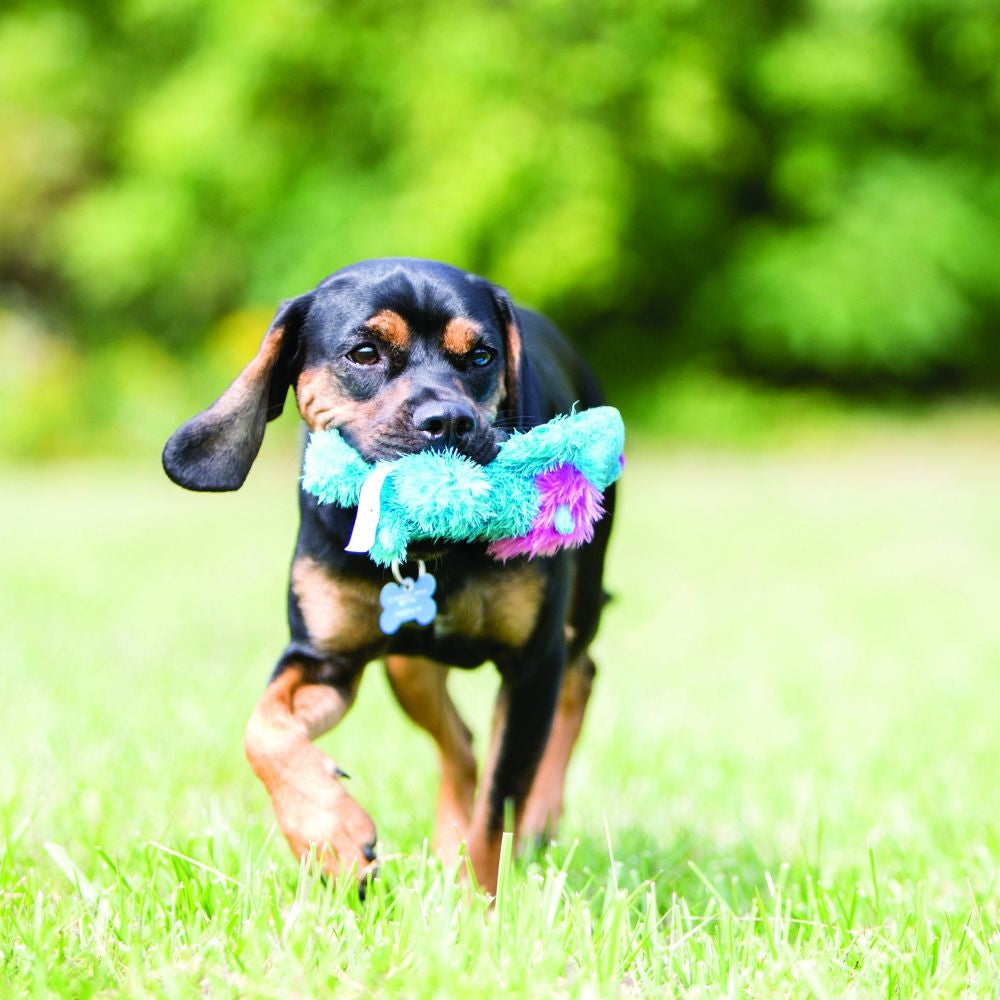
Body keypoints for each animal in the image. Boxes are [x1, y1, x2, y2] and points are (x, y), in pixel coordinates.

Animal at [161, 258, 612, 892]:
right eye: (365, 353)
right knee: (461, 744)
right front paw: (330, 835)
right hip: (407, 665)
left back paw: (539, 818)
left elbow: (498, 808)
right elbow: (263, 730)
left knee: (580, 677)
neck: (431, 547)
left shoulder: (532, 663)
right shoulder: (324, 658)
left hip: (580, 604)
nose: (448, 419)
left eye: (482, 356)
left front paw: (477, 904)